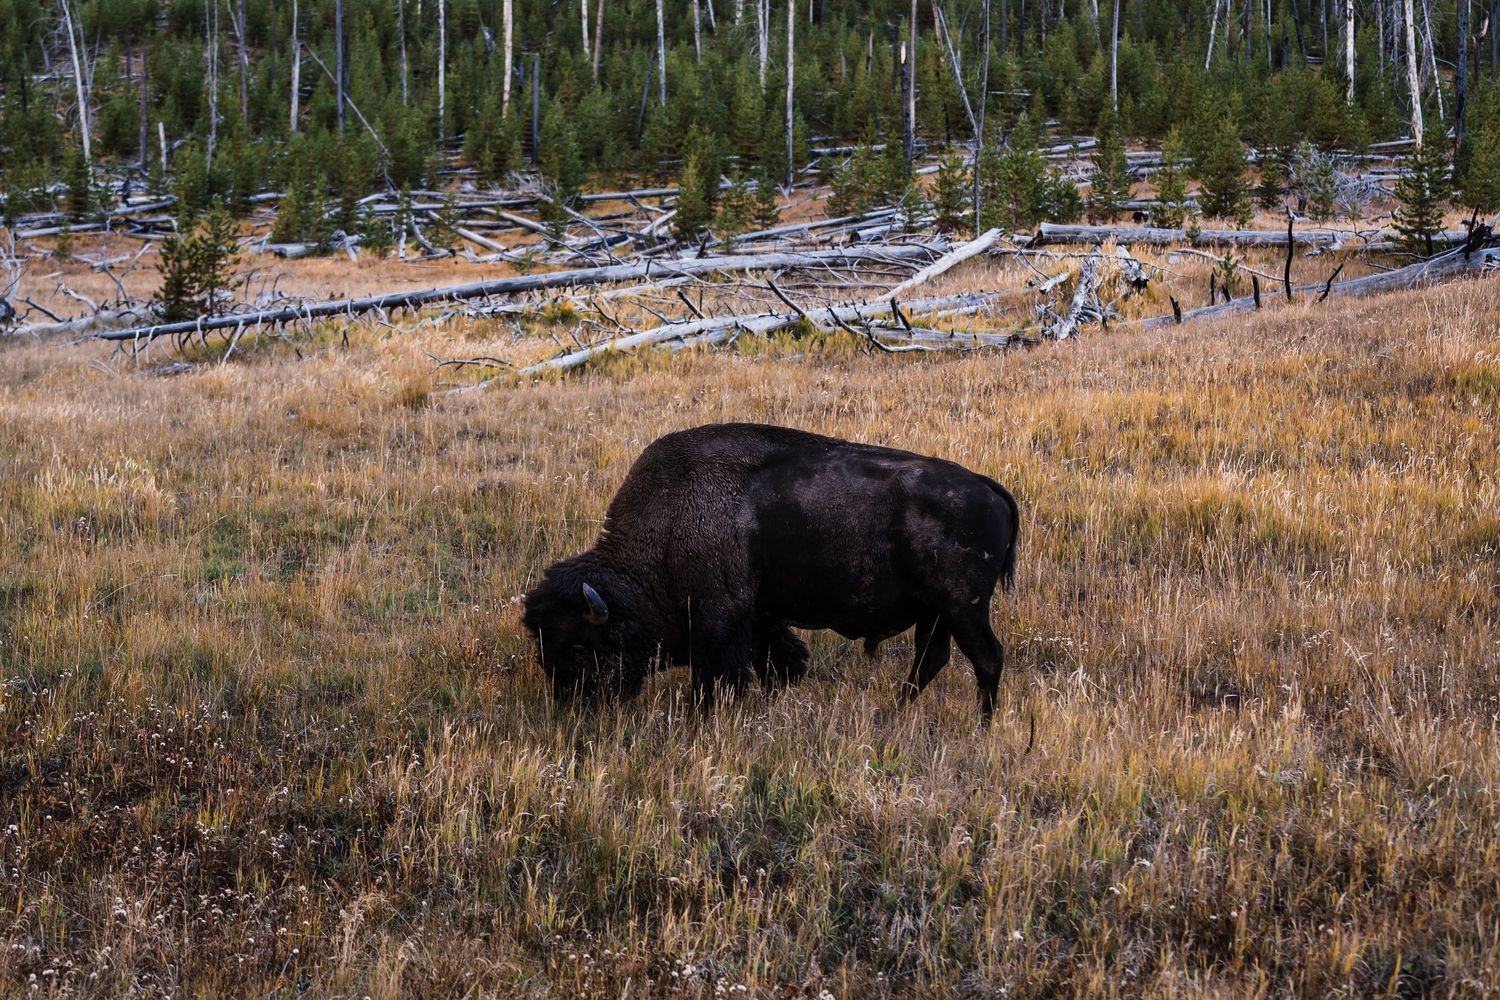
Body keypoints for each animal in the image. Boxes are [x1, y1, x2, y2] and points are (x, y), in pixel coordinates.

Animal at [522, 423, 1019, 719]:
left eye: (580, 646)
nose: (570, 704)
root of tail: (986, 486)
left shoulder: (721, 620)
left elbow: (720, 674)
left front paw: (706, 714)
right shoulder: (761, 617)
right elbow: (779, 660)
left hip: (963, 607)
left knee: (986, 658)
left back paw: (982, 724)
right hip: (936, 614)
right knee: (931, 659)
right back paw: (894, 712)